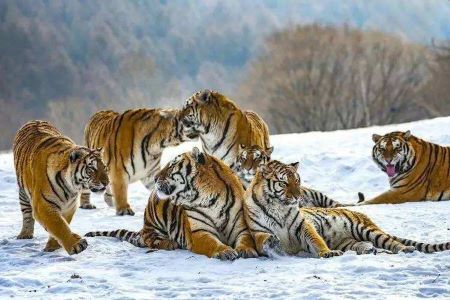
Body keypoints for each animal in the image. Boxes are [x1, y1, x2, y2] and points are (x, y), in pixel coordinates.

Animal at [13, 120, 108, 254]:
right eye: (92, 169)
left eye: (104, 167)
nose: (107, 182)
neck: (69, 187)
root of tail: (35, 121)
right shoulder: (43, 205)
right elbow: (58, 225)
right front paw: (76, 244)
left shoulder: (69, 206)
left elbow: (62, 224)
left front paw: (52, 247)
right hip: (23, 192)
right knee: (27, 214)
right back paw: (25, 234)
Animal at [85, 148, 258, 260]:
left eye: (172, 166)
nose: (155, 178)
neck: (210, 198)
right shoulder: (200, 232)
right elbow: (212, 242)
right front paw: (225, 251)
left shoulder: (240, 227)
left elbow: (246, 240)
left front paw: (247, 250)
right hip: (154, 216)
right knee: (149, 239)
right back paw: (169, 243)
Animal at [246, 159, 450, 258]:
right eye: (283, 183)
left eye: (297, 181)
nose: (298, 196)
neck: (278, 206)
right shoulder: (256, 231)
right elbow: (263, 240)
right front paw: (271, 243)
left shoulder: (303, 226)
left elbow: (316, 240)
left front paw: (327, 253)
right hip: (348, 241)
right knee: (370, 246)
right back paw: (370, 251)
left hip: (364, 229)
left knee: (393, 243)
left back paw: (405, 249)